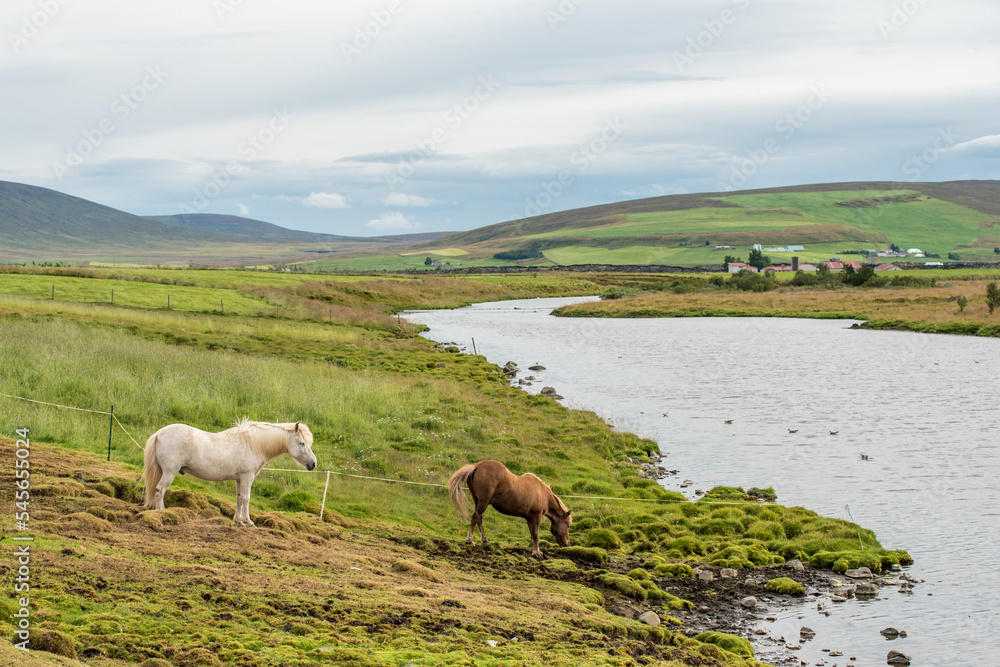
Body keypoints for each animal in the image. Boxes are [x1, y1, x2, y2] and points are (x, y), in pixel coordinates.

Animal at [143, 419, 317, 526]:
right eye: (302, 443)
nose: (313, 464)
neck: (253, 444)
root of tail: (158, 434)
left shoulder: (239, 479)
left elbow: (239, 499)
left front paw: (238, 521)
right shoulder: (247, 477)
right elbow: (246, 499)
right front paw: (248, 522)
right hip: (169, 472)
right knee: (159, 490)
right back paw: (161, 513)